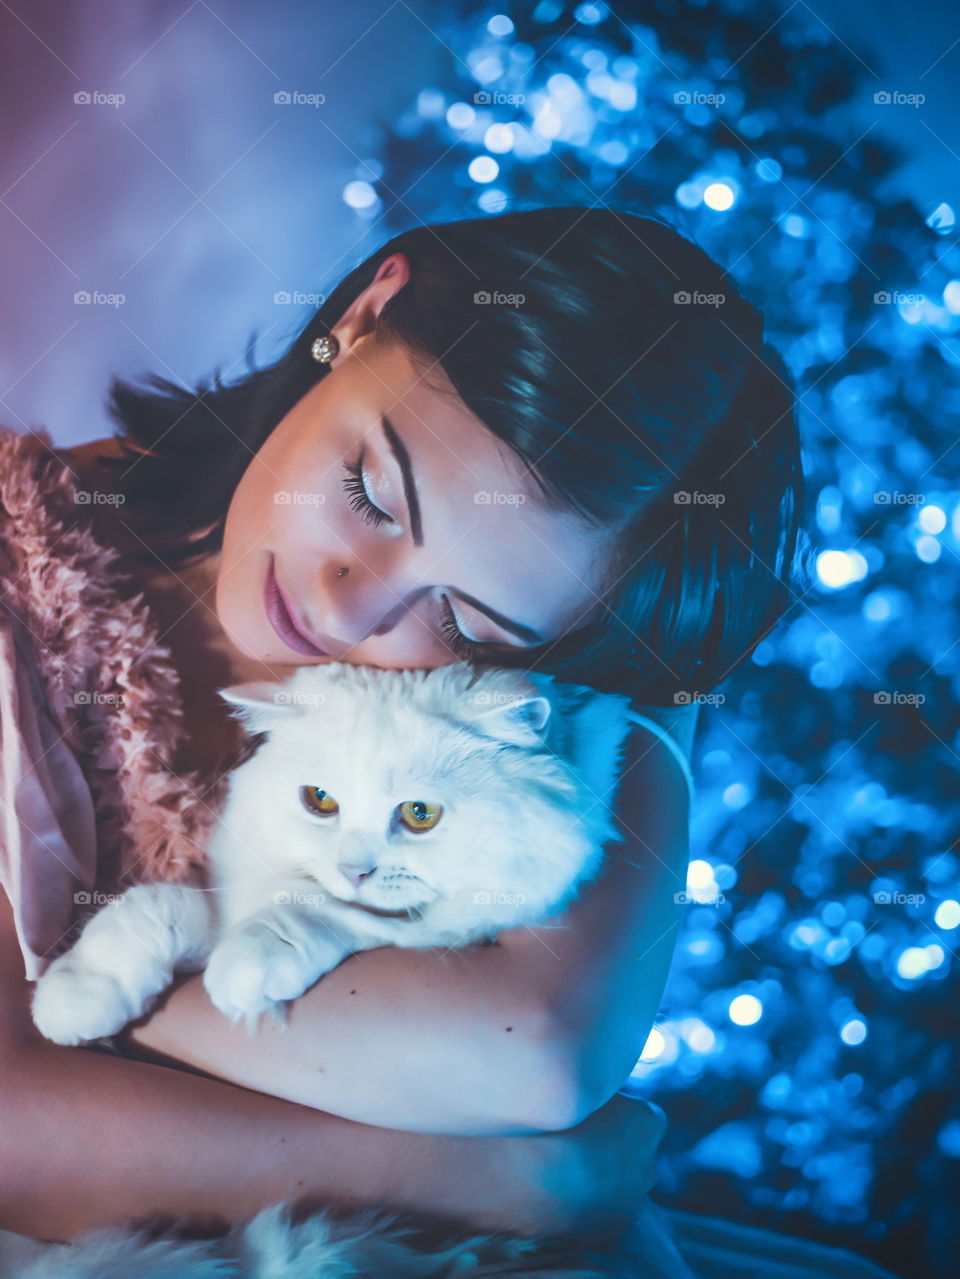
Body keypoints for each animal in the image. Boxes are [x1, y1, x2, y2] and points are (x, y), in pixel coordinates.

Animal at [30, 659, 639, 1048]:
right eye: (320, 801)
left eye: (420, 814)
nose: (354, 871)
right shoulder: (224, 894)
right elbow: (148, 911)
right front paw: (74, 997)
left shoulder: (449, 929)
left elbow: (319, 911)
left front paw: (245, 970)